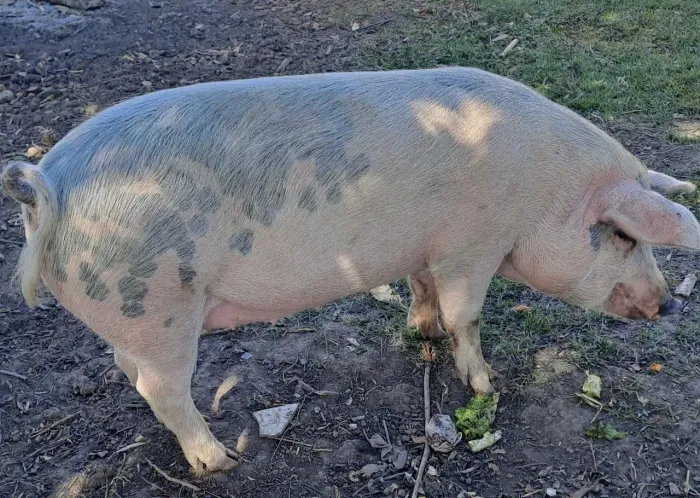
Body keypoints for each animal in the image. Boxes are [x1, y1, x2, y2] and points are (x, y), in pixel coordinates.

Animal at [2, 67, 700, 472]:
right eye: (621, 235)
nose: (667, 303)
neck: (541, 193)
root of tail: (48, 186)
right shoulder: (471, 246)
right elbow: (467, 315)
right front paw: (486, 386)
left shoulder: (424, 248)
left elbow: (423, 292)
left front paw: (421, 332)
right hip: (160, 304)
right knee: (161, 388)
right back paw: (220, 460)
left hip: (136, 314)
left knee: (132, 372)